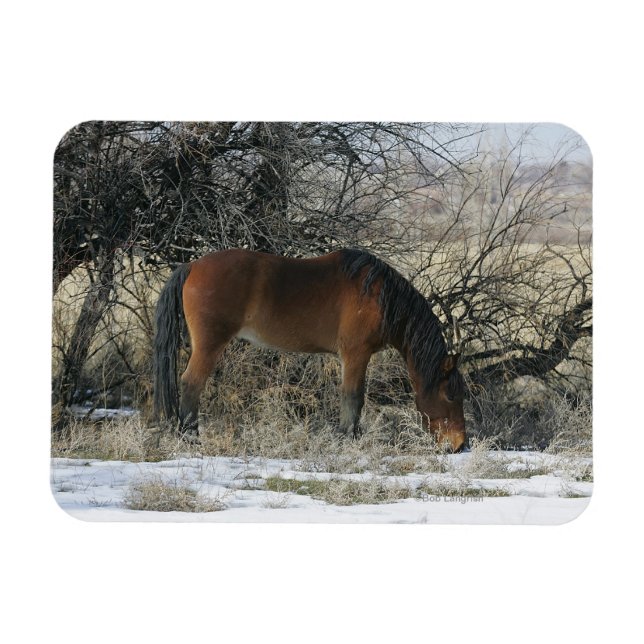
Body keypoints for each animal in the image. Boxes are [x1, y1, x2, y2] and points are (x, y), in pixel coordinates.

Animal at [153, 248, 466, 451]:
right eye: (451, 394)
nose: (460, 445)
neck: (380, 296)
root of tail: (192, 266)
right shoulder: (356, 354)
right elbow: (353, 398)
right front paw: (348, 439)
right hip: (209, 345)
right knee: (191, 383)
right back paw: (190, 437)